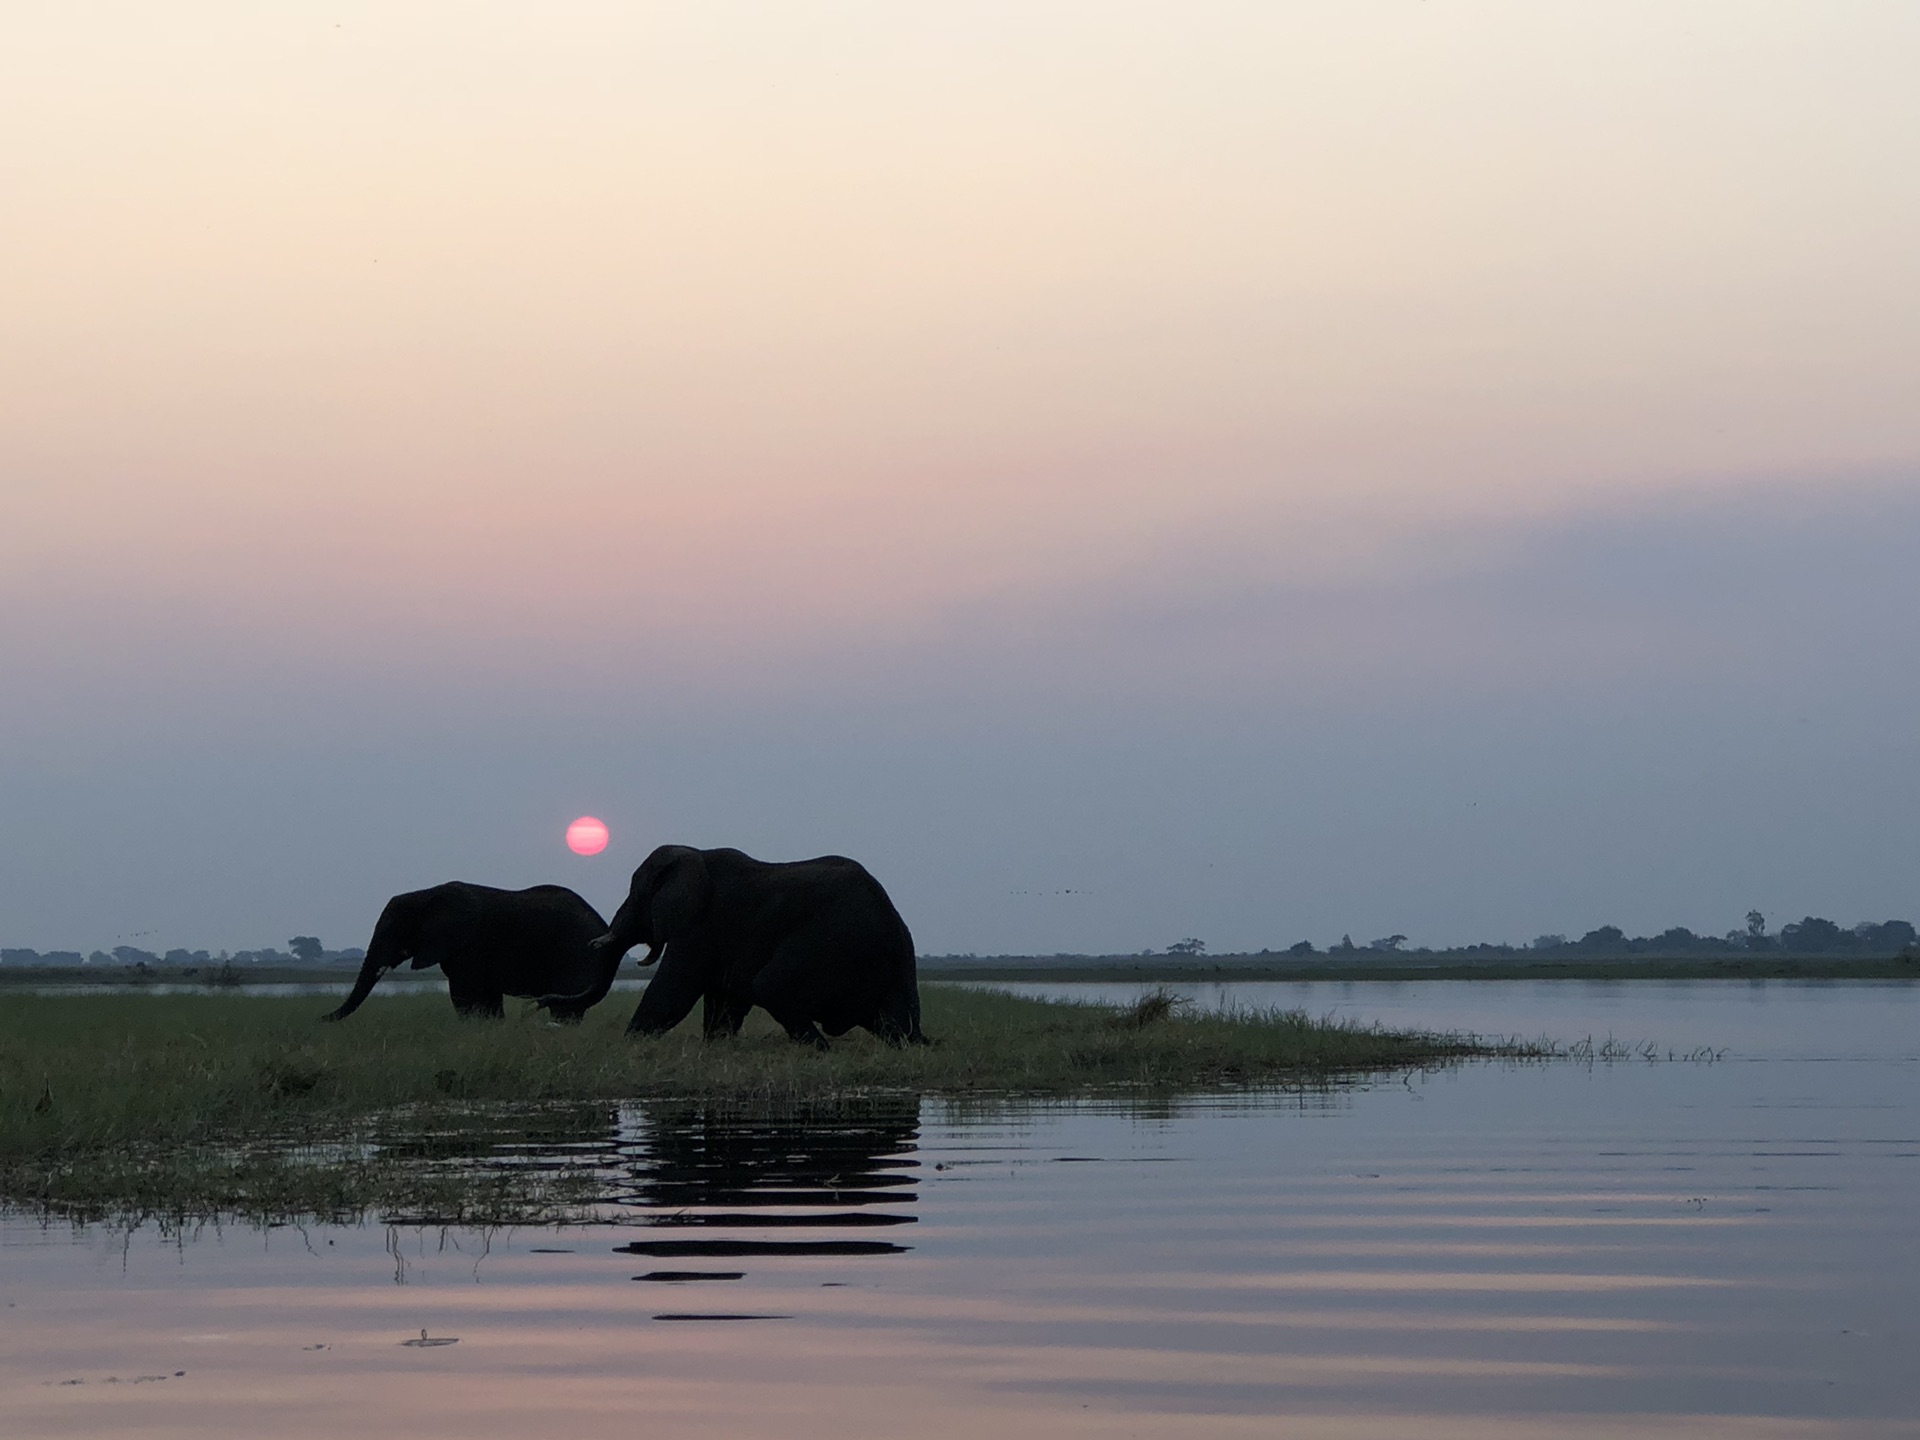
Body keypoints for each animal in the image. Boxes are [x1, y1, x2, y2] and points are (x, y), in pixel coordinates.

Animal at [322, 879, 606, 1029]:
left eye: (393, 931)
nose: (321, 1019)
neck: (427, 894)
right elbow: (486, 996)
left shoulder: (468, 943)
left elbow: (465, 993)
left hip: (577, 952)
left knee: (566, 1005)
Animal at [541, 844, 929, 1052]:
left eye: (638, 896)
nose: (542, 1004)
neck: (694, 854)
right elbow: (724, 1003)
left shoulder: (702, 926)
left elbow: (672, 993)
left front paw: (629, 1045)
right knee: (893, 1023)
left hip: (831, 943)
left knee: (770, 985)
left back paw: (821, 1050)